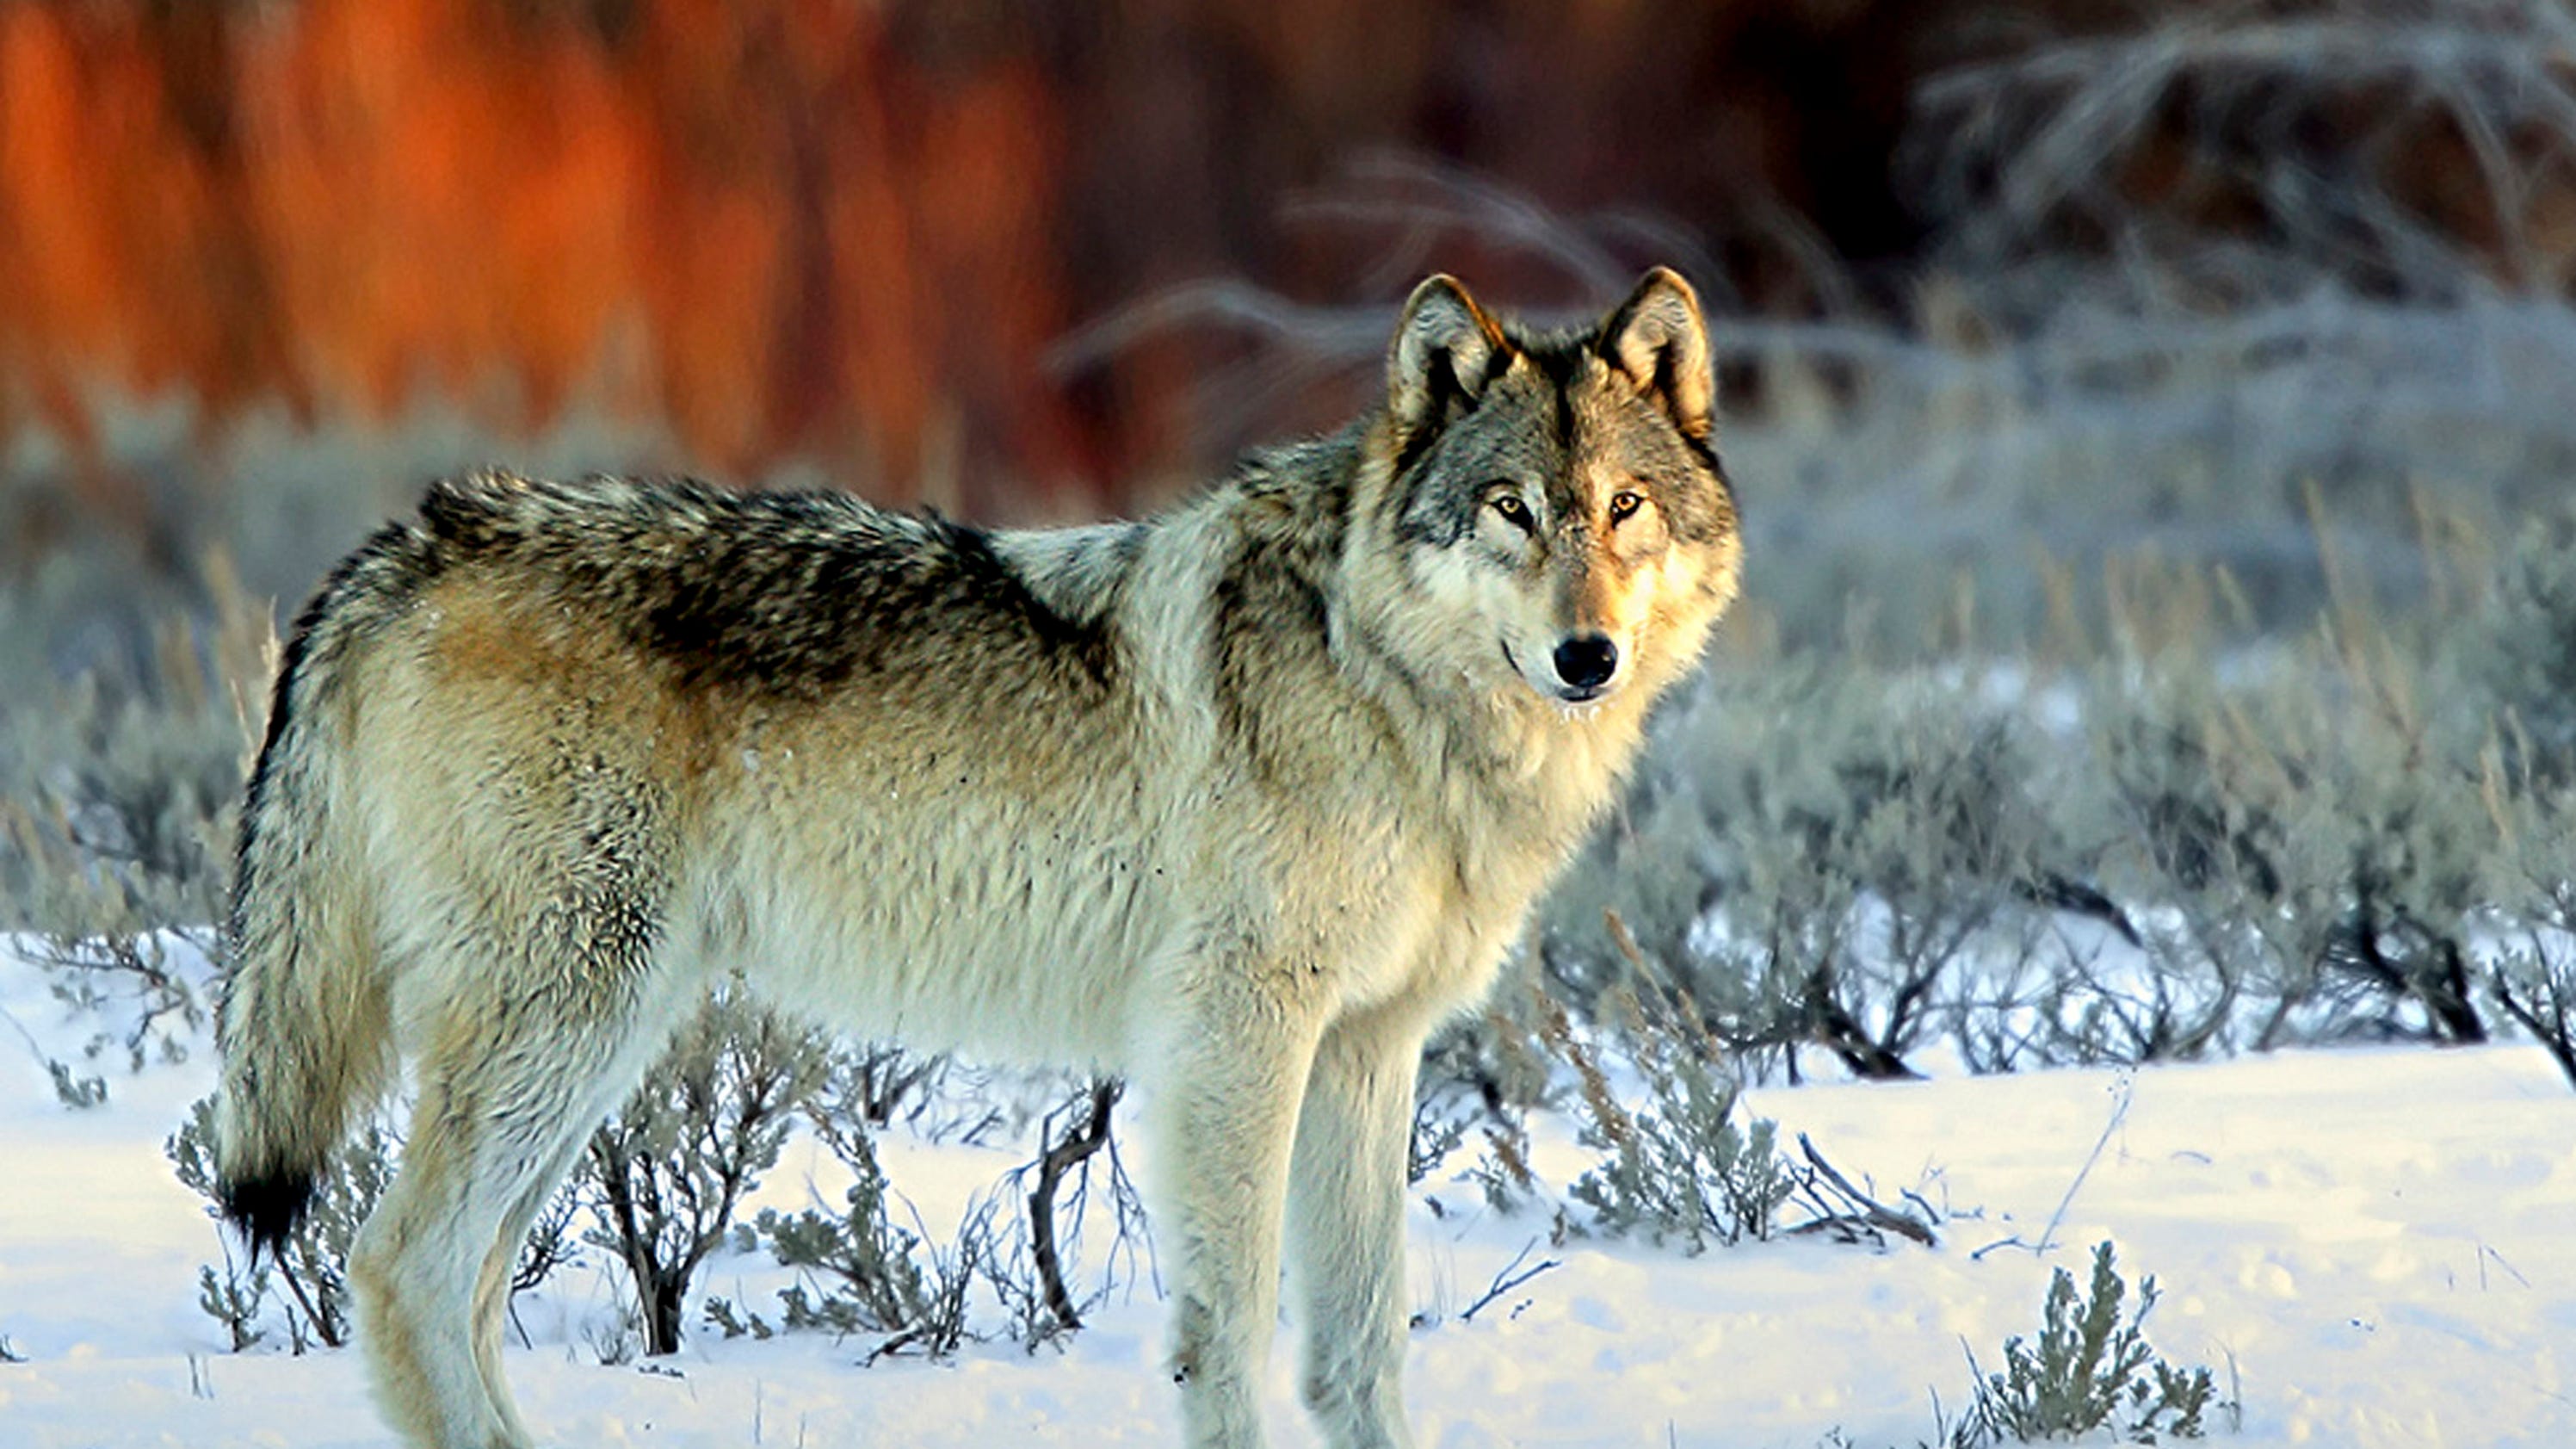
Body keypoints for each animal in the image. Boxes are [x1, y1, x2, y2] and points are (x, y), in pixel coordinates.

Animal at [216, 265, 1751, 1434]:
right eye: (1511, 509)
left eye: (1622, 506)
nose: (1587, 655)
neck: (1385, 684)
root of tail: (417, 539)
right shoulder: (1236, 1035)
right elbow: (1231, 1323)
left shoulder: (1370, 1047)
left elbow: (1364, 1344)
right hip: (568, 1022)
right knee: (401, 1267)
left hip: (594, 1047)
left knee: (462, 1288)